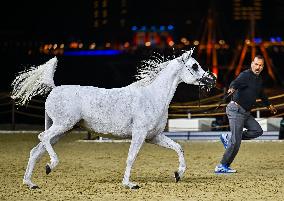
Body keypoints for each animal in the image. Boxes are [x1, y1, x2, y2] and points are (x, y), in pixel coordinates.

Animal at [11, 49, 215, 189]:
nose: (212, 79)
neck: (152, 95)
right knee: (42, 138)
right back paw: (50, 166)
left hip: (61, 131)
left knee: (35, 151)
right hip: (61, 126)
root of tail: (54, 88)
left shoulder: (154, 137)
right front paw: (129, 184)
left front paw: (178, 174)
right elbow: (131, 157)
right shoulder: (139, 134)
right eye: (195, 65)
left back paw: (31, 183)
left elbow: (179, 148)